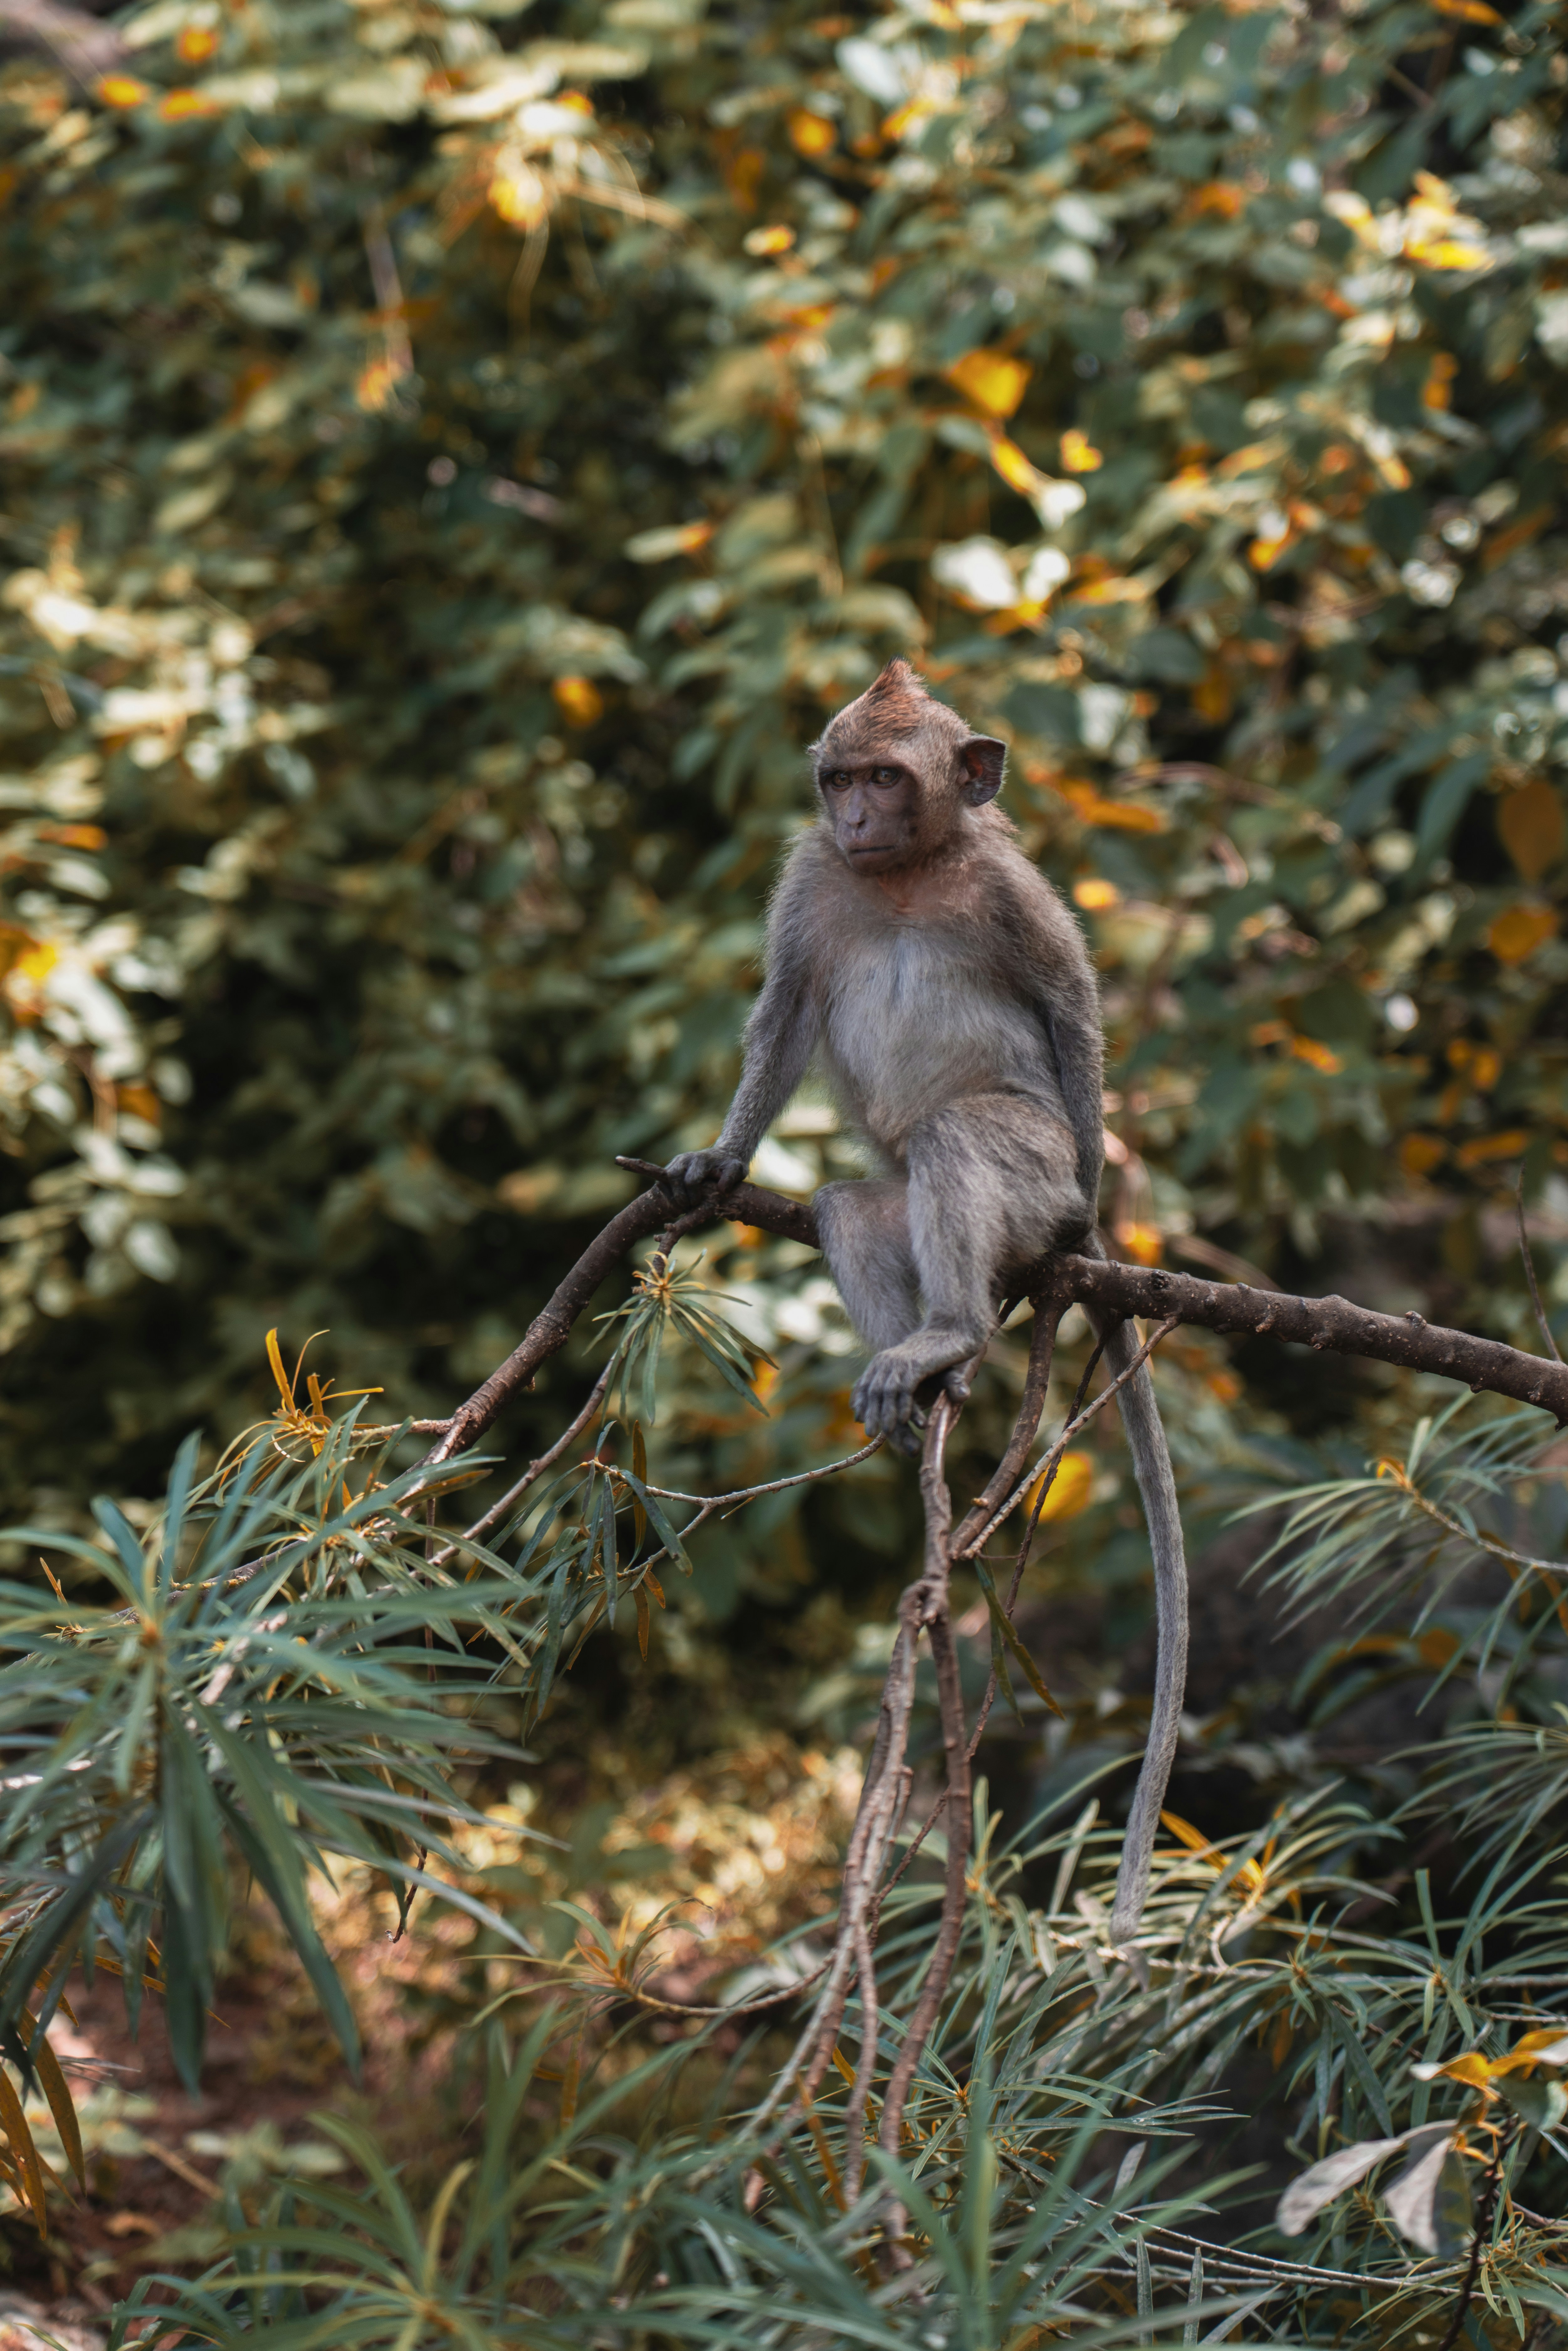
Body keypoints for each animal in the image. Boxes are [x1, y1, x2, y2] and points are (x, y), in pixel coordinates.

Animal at [662, 660, 1187, 1940]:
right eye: (839, 779)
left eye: (886, 779)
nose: (855, 815)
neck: (902, 875)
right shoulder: (809, 877)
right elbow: (784, 1009)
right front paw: (722, 1154)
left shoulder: (1012, 888)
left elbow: (1070, 1005)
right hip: (901, 1212)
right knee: (855, 1206)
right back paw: (924, 1370)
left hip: (1025, 1182)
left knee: (959, 1139)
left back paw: (958, 1326)